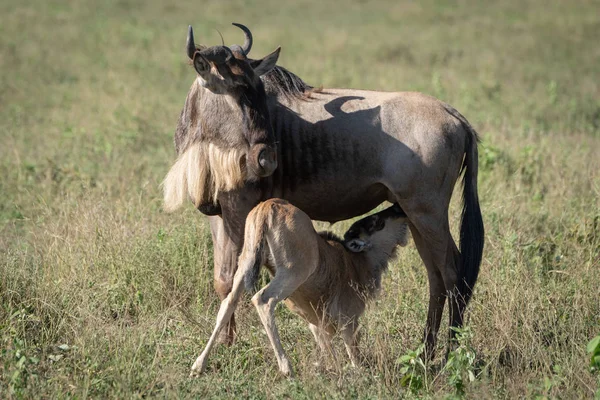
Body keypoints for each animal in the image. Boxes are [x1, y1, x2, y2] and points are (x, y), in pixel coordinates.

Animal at [190, 198, 410, 376]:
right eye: (377, 223)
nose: (399, 208)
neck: (354, 261)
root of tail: (268, 205)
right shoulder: (349, 320)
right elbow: (352, 350)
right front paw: (359, 371)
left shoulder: (317, 325)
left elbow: (328, 348)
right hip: (293, 273)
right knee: (263, 300)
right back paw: (286, 368)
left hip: (244, 265)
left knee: (228, 303)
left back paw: (199, 365)